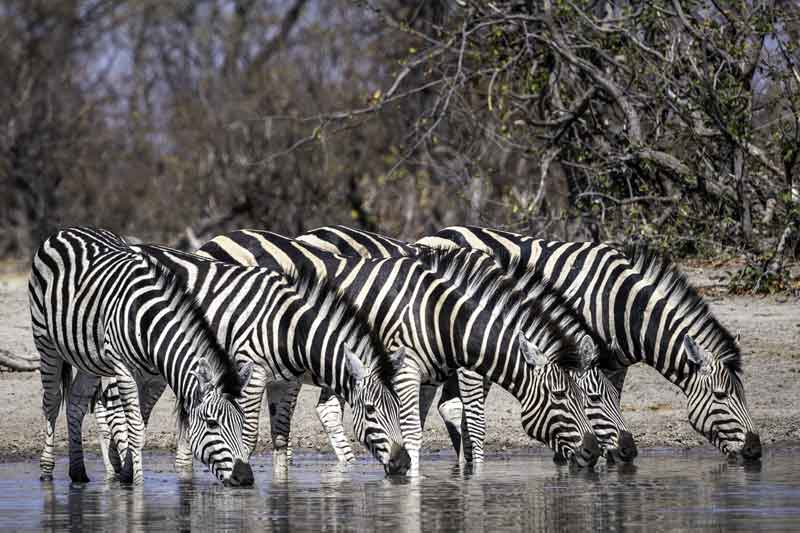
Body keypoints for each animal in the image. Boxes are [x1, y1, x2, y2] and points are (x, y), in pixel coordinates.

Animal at [29, 227, 255, 484]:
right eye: (212, 423)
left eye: (241, 421)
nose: (245, 478)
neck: (150, 324)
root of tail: (67, 230)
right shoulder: (123, 369)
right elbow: (135, 429)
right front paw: (136, 484)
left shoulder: (156, 378)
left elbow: (141, 426)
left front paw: (127, 474)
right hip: (45, 342)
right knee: (52, 401)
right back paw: (47, 469)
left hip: (89, 358)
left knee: (76, 400)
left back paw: (78, 472)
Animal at [94, 243, 412, 476]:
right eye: (370, 410)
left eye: (398, 407)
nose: (404, 464)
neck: (290, 327)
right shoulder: (252, 374)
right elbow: (247, 436)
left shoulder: (285, 383)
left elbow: (281, 439)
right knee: (112, 413)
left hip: (157, 370)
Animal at [198, 229, 600, 470]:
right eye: (563, 397)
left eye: (587, 397)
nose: (593, 452)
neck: (448, 313)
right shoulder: (442, 370)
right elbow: (467, 421)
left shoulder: (429, 374)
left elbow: (420, 425)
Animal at [422, 223, 760, 458]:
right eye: (720, 395)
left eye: (743, 394)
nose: (755, 451)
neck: (623, 307)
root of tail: (435, 236)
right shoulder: (581, 352)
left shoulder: (615, 364)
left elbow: (608, 402)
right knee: (466, 408)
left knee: (444, 404)